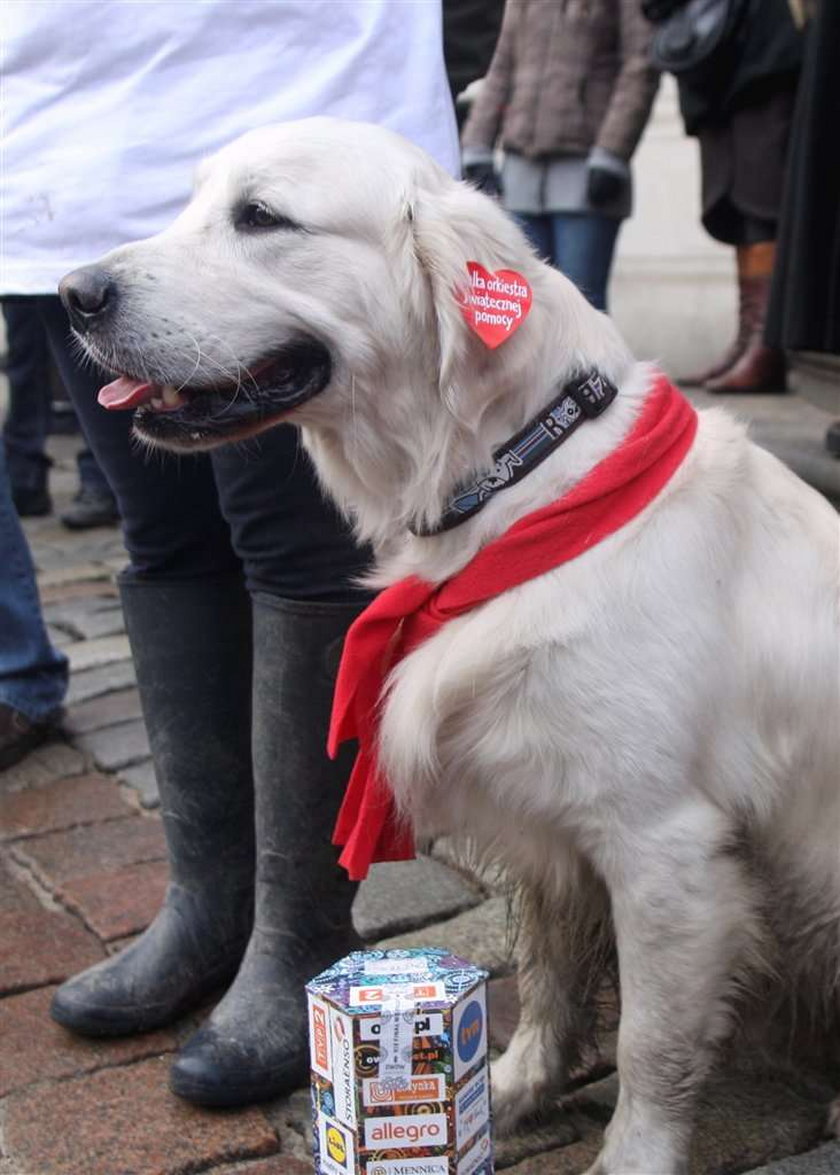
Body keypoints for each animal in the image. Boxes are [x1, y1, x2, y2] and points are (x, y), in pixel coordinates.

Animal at [60, 121, 840, 1175]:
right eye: (189, 204)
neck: (525, 482)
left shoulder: (664, 845)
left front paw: (630, 1153)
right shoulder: (553, 826)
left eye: (261, 216)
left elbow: (652, 1040)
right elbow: (550, 976)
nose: (73, 293)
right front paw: (507, 1089)